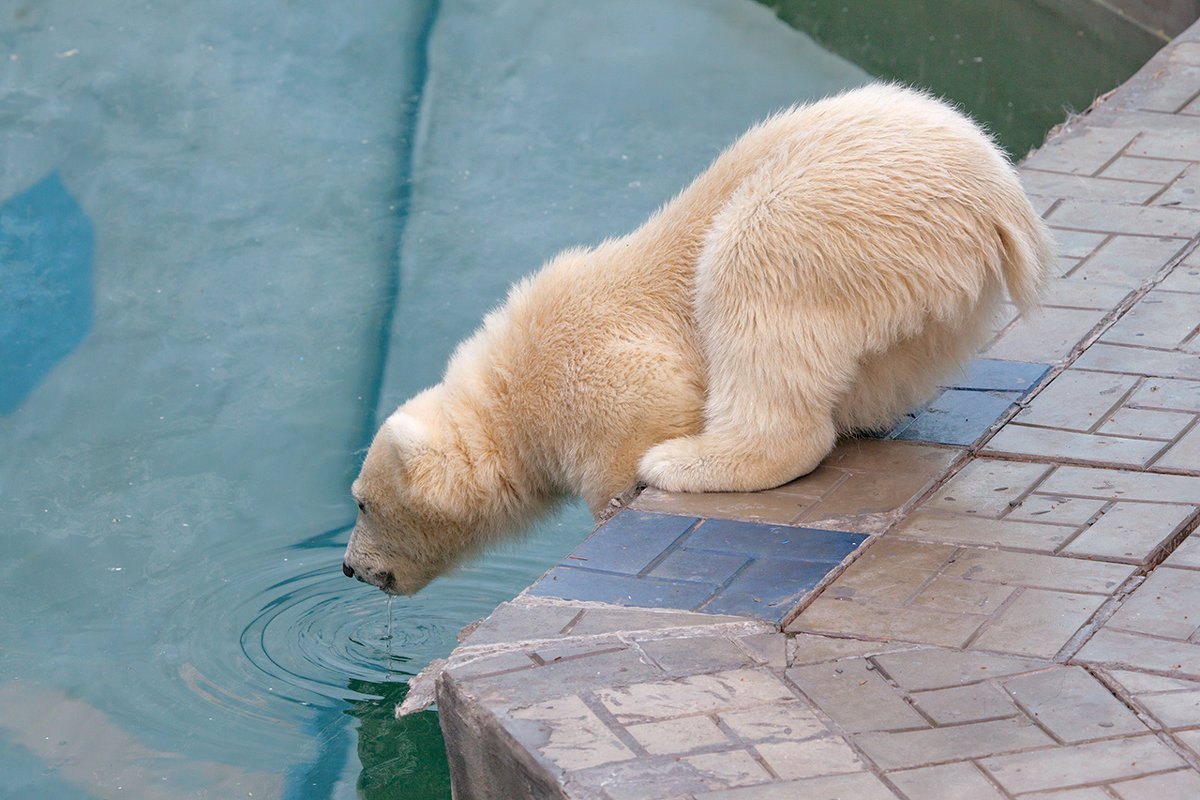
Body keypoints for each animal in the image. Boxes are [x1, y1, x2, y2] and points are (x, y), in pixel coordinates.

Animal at [340, 86, 1051, 594]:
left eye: (361, 504)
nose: (349, 567)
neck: (511, 391)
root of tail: (1000, 199)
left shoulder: (596, 372)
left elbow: (642, 417)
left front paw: (631, 487)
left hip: (838, 210)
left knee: (751, 266)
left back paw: (694, 462)